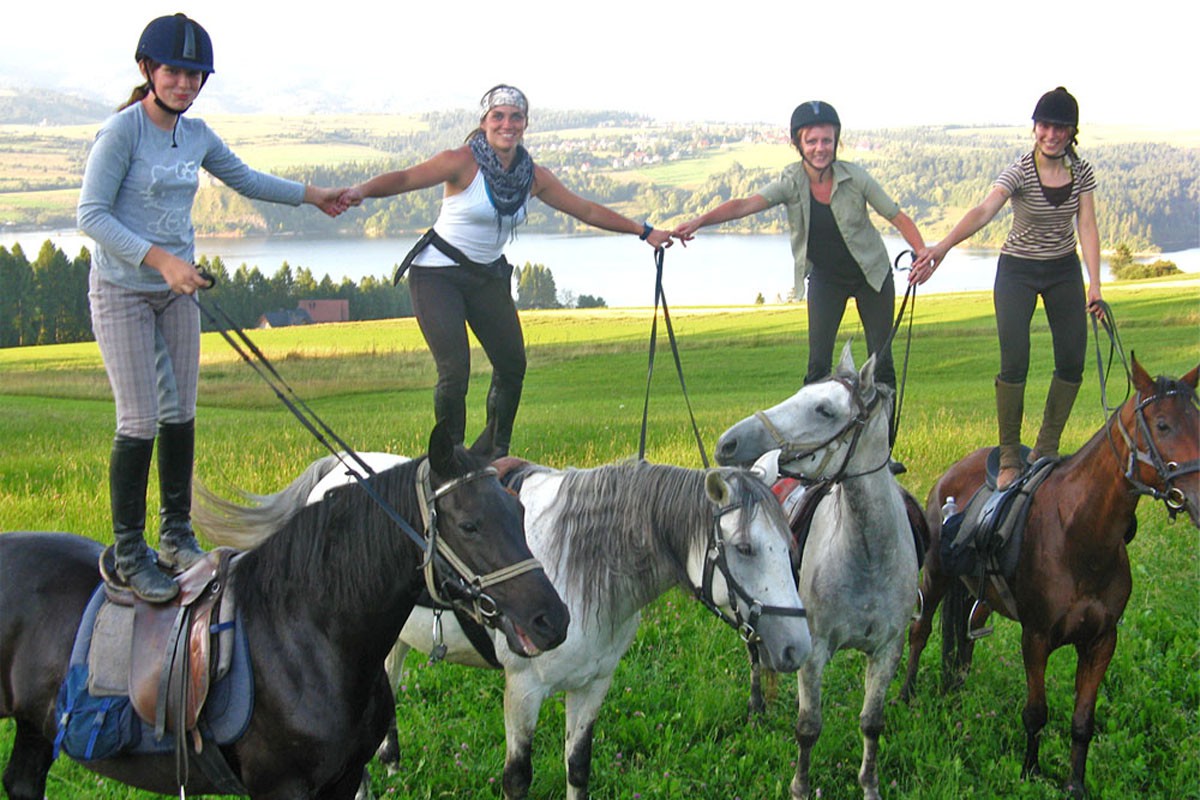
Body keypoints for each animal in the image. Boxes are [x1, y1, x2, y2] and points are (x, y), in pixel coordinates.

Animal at [0, 422, 570, 800]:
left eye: (519, 509)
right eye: (469, 525)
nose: (553, 620)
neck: (306, 635)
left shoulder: (342, 781)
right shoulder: (283, 789)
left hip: (34, 730)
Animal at [193, 452, 814, 800]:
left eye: (790, 543)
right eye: (743, 548)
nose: (797, 649)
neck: (581, 562)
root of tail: (332, 475)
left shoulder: (594, 686)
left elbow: (578, 768)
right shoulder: (524, 690)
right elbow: (518, 778)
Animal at [713, 344, 920, 800]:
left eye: (825, 410)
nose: (727, 443)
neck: (868, 556)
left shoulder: (889, 649)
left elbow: (871, 723)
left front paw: (869, 785)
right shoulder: (816, 649)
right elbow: (808, 727)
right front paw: (801, 787)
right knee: (753, 653)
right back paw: (756, 705)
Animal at [900, 355, 1199, 797]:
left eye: (1198, 419)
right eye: (1162, 424)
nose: (1199, 495)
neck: (1079, 533)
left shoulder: (1101, 642)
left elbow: (1082, 722)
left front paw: (1075, 783)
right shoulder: (1036, 638)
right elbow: (1036, 712)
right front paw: (1030, 772)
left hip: (976, 593)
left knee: (965, 643)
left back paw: (955, 693)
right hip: (936, 576)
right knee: (919, 632)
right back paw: (906, 695)